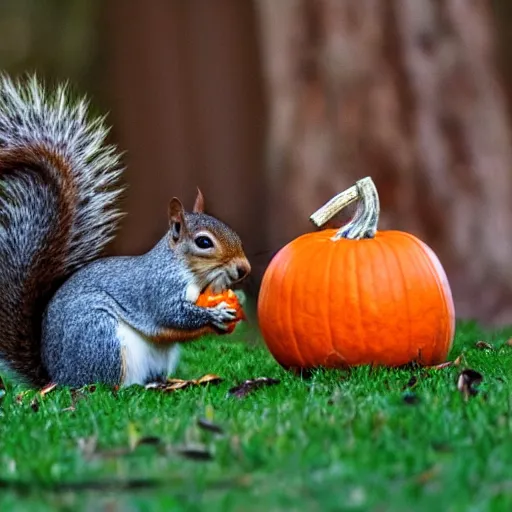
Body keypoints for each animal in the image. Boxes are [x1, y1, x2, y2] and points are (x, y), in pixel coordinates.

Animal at [0, 75, 250, 388]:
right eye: (204, 242)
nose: (244, 268)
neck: (188, 272)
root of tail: (55, 377)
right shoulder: (157, 290)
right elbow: (174, 314)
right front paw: (215, 312)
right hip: (100, 336)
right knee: (106, 388)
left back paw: (163, 383)